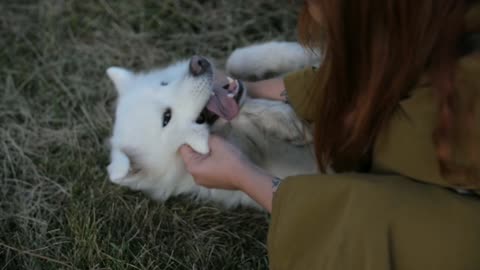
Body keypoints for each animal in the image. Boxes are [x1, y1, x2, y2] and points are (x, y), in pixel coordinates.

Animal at [107, 41, 320, 209]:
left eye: (164, 83)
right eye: (166, 118)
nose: (197, 64)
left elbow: (235, 58)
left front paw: (308, 53)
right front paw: (287, 120)